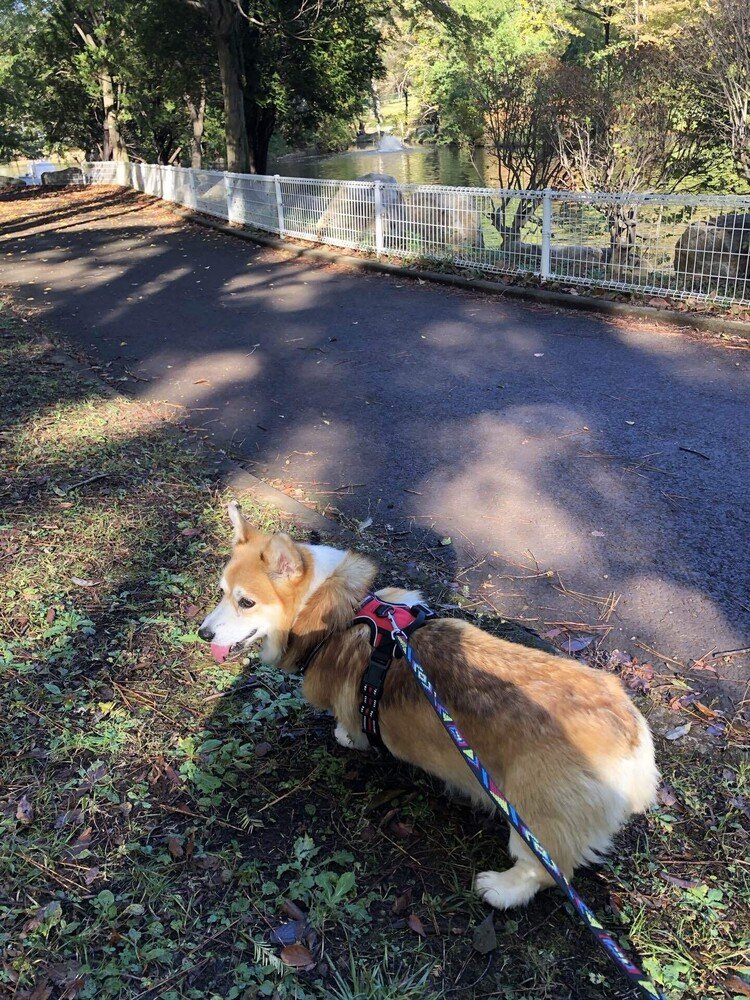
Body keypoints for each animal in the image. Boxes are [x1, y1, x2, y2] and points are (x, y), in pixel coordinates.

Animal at [198, 504, 656, 912]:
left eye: (246, 602)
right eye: (221, 593)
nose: (203, 634)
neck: (332, 608)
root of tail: (632, 740)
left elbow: (351, 726)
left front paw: (346, 736)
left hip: (530, 814)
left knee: (544, 871)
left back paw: (499, 889)